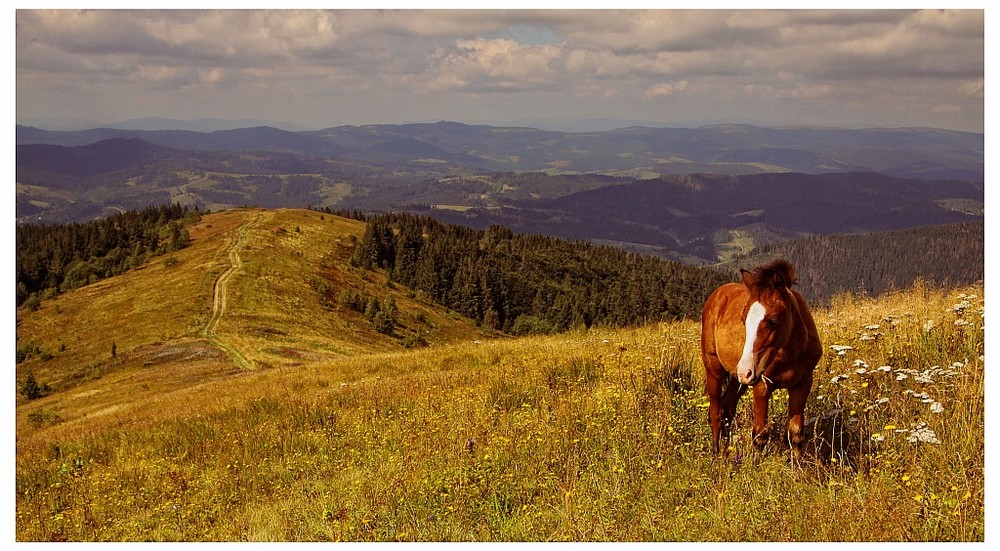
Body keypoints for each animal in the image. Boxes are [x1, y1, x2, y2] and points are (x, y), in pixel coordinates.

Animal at [700, 260, 824, 458]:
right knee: (715, 413)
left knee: (727, 410)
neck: (791, 352)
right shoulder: (761, 385)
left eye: (773, 320)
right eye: (743, 320)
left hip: (737, 380)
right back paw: (717, 456)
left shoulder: (802, 384)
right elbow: (759, 435)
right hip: (714, 368)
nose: (746, 371)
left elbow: (796, 434)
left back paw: (726, 452)